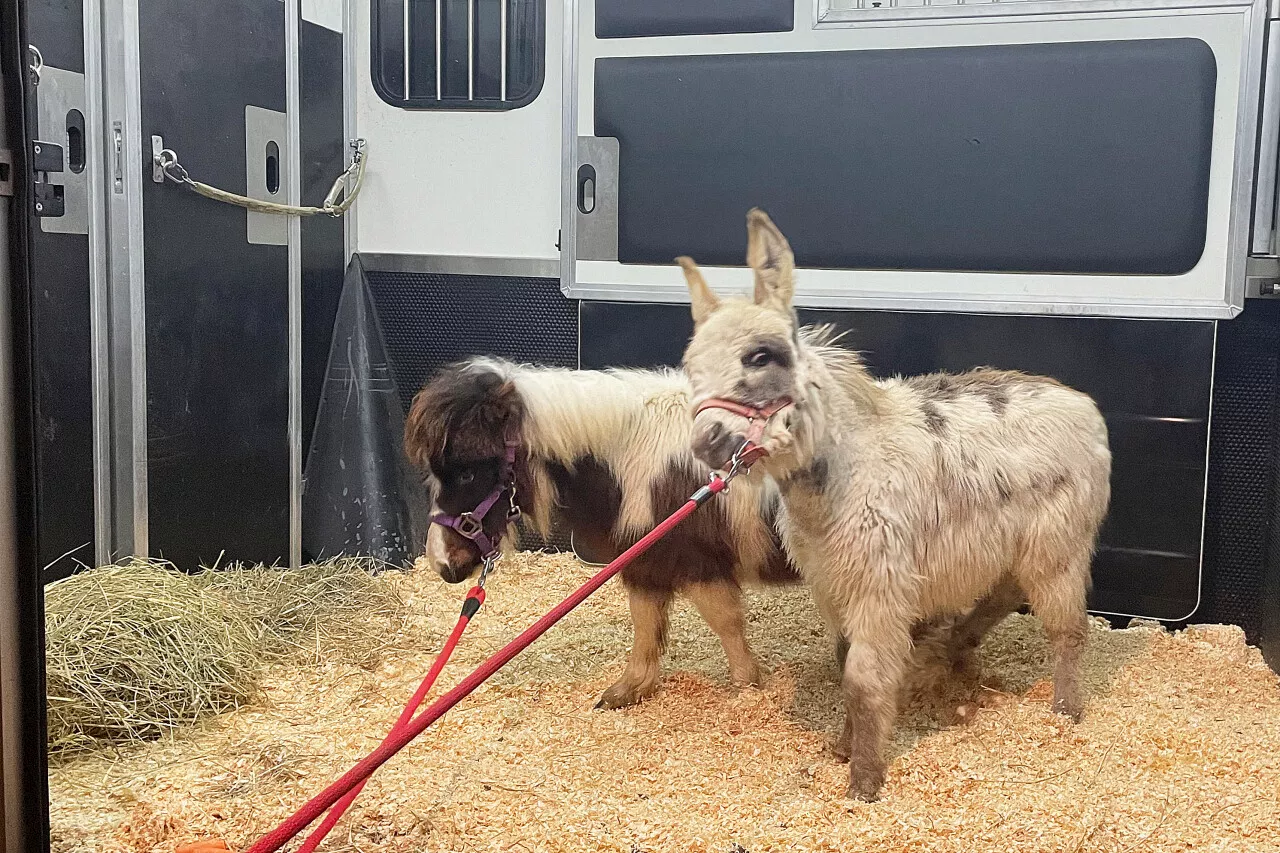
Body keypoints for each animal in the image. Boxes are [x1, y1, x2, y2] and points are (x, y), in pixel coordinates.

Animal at [680, 208, 1111, 799]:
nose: (706, 443)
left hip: (1058, 544)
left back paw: (1065, 711)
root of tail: (1082, 403)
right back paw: (956, 646)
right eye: (690, 365)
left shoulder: (879, 583)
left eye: (760, 356)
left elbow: (863, 678)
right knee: (1004, 593)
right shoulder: (832, 583)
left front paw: (863, 782)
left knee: (1066, 626)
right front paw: (844, 749)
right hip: (1011, 544)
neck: (844, 471)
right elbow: (844, 662)